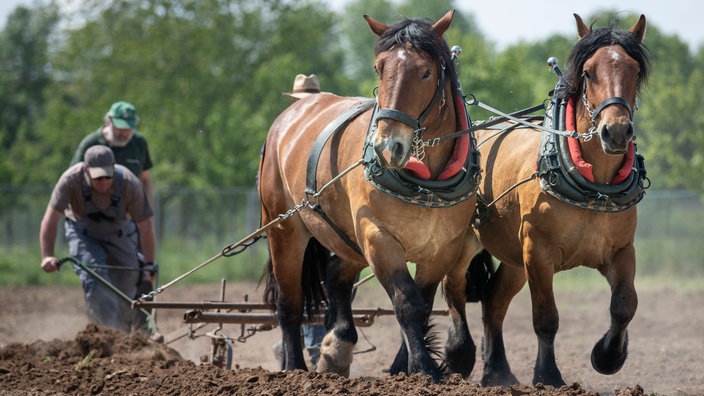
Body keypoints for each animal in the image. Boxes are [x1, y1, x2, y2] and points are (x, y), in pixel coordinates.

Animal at [258, 10, 478, 380]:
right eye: (379, 67)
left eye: (426, 71)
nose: (388, 147)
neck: (427, 186)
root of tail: (292, 113)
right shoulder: (378, 238)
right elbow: (406, 302)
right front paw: (423, 369)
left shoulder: (443, 248)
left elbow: (423, 305)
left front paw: (405, 368)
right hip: (284, 228)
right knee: (289, 303)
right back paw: (294, 367)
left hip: (344, 235)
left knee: (335, 277)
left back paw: (337, 347)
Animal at [470, 13, 652, 386]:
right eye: (588, 72)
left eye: (634, 70)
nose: (615, 131)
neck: (594, 187)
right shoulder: (537, 253)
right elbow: (546, 317)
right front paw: (549, 375)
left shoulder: (620, 251)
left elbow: (625, 304)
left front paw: (608, 356)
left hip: (513, 258)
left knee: (493, 302)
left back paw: (498, 372)